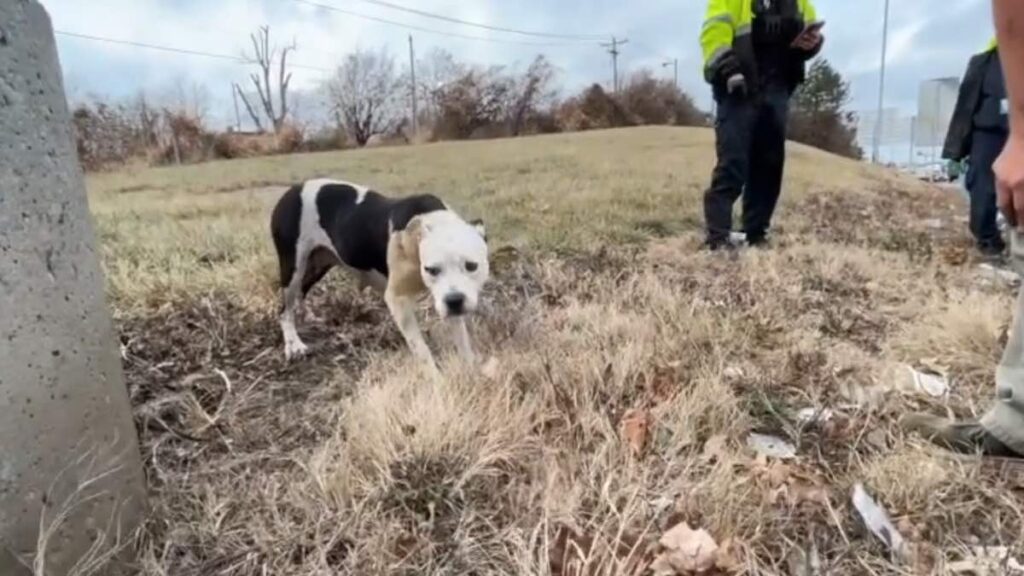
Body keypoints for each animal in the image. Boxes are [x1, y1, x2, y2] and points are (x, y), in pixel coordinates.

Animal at [264, 177, 487, 368]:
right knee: (284, 310)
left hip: (318, 264)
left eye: (472, 266)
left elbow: (462, 339)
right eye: (431, 270)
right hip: (292, 268)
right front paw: (436, 381)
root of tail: (292, 190)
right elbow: (421, 349)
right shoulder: (398, 299)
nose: (454, 300)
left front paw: (471, 370)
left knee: (301, 293)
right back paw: (294, 345)